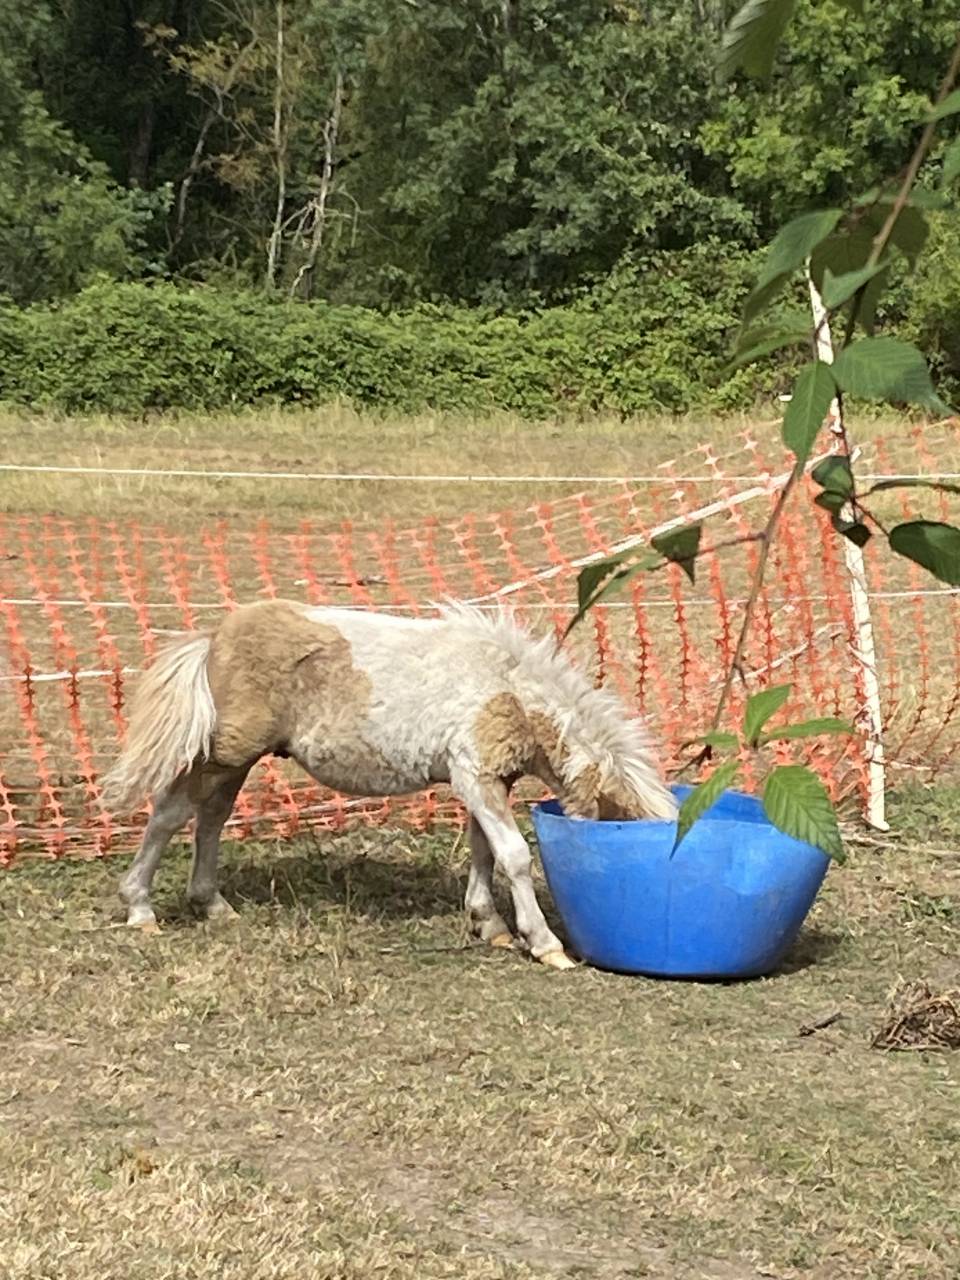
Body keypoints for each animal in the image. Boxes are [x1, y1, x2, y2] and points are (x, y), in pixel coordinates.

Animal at [103, 599, 675, 968]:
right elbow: (513, 855)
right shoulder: (475, 776)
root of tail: (215, 638)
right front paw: (545, 944)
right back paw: (140, 908)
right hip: (225, 751)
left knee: (212, 817)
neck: (507, 689)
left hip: (238, 760)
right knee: (171, 812)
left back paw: (212, 905)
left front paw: (487, 925)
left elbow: (483, 851)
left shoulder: (485, 781)